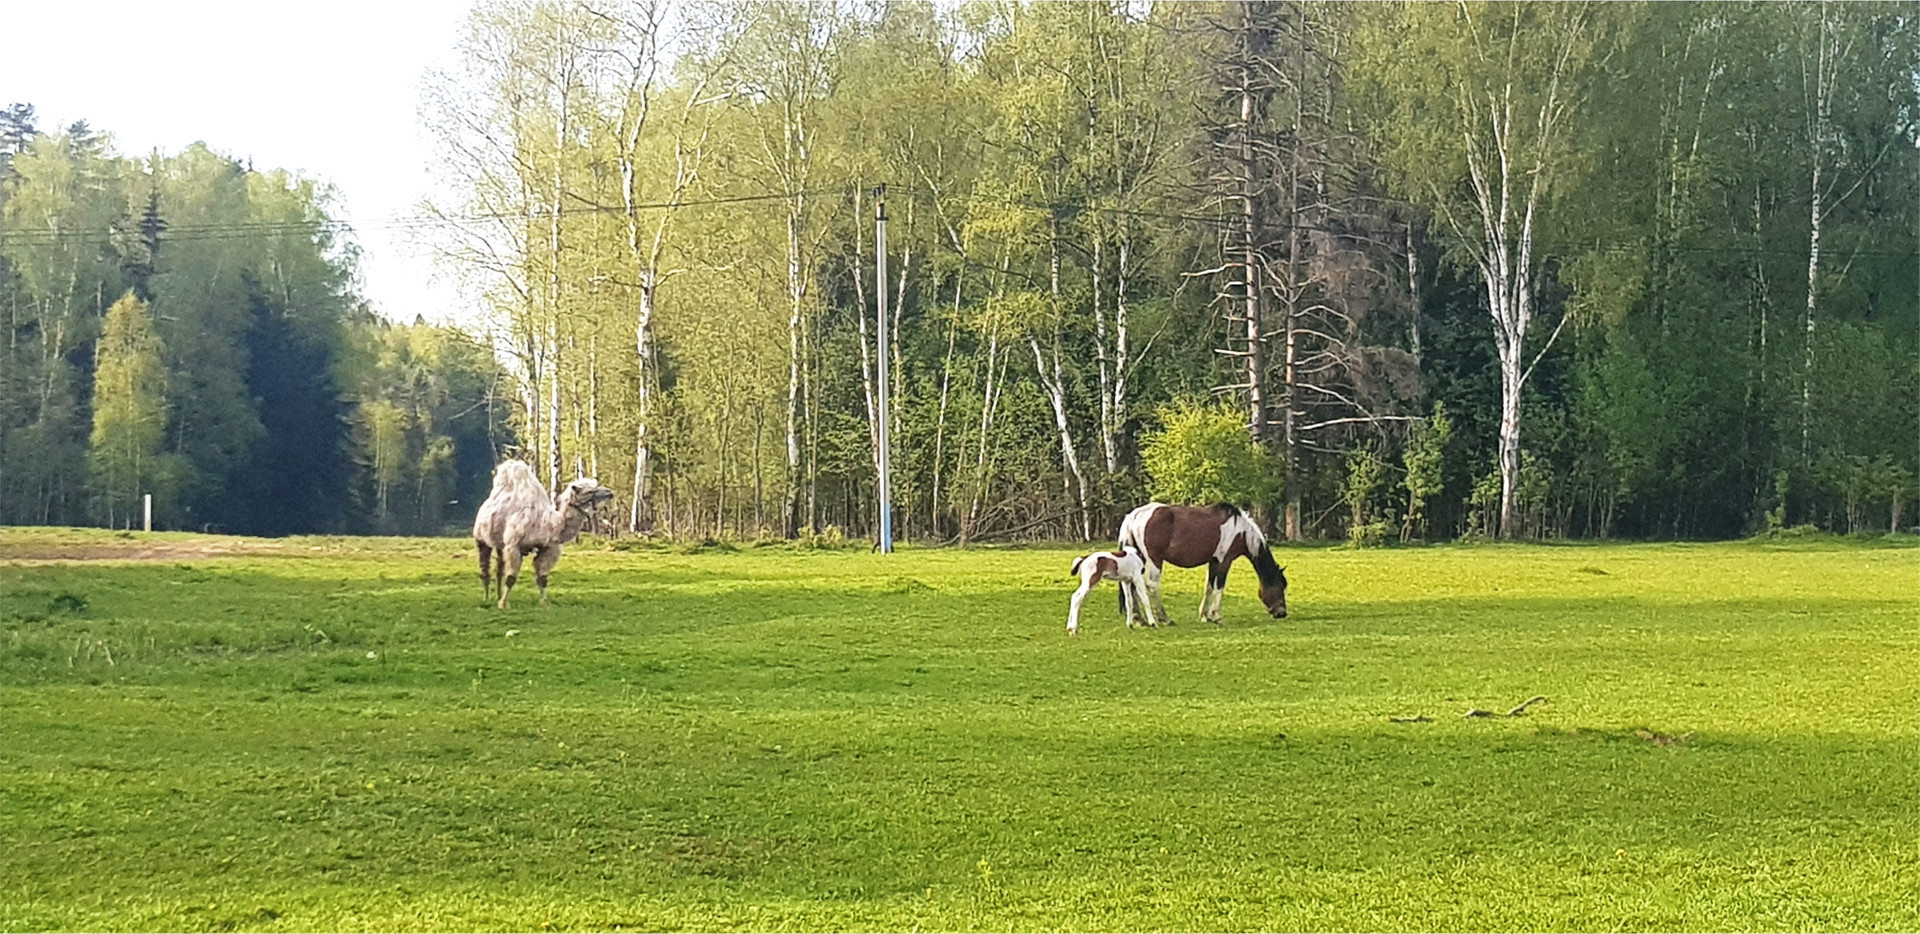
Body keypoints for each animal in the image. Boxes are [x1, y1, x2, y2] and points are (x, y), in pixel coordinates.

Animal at [472, 459, 613, 608]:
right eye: (589, 491)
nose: (610, 492)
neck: (547, 524)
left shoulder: (548, 548)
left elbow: (542, 578)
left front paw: (545, 603)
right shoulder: (514, 546)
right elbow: (511, 578)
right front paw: (504, 604)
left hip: (500, 544)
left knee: (499, 569)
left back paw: (497, 596)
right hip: (481, 539)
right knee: (485, 569)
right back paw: (486, 599)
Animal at [1117, 502, 1288, 626]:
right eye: (1281, 586)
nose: (1282, 613)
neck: (1240, 531)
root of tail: (1134, 516)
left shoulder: (1213, 562)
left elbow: (1209, 586)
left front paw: (1205, 616)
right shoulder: (1224, 561)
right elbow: (1219, 587)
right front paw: (1217, 616)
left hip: (1138, 560)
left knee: (1133, 586)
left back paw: (1139, 619)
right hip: (1154, 560)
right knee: (1152, 585)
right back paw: (1164, 618)